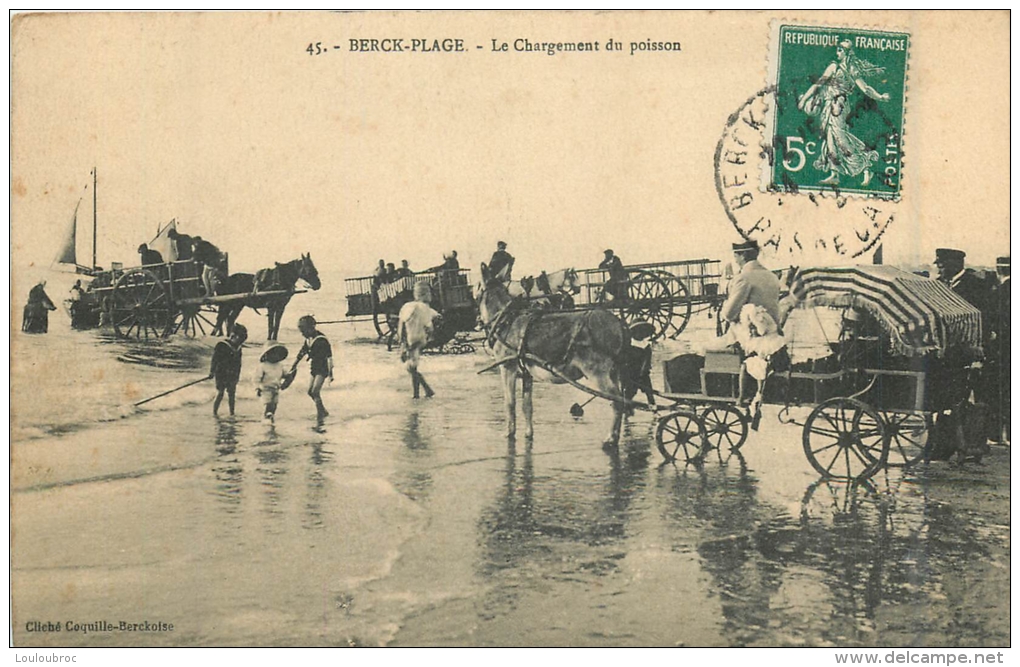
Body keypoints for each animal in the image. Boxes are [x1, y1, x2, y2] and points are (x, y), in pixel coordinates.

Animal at [477, 263, 628, 446]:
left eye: (478, 289)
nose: (477, 321)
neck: (505, 320)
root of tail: (618, 323)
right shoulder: (526, 372)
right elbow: (527, 405)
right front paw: (528, 434)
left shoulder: (507, 368)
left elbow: (510, 403)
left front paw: (509, 434)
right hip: (615, 372)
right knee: (622, 400)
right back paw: (615, 435)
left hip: (598, 372)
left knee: (617, 401)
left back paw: (611, 438)